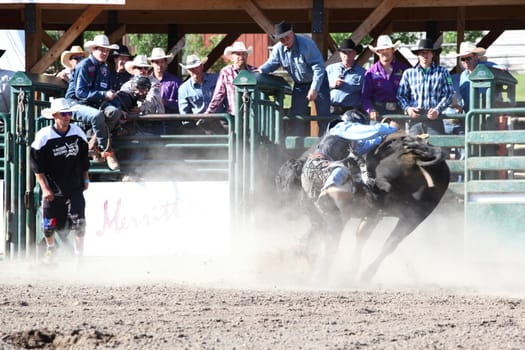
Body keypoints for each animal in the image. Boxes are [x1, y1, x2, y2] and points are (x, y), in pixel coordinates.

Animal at [274, 133, 450, 284]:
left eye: (285, 184)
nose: (285, 210)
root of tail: (423, 152)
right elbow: (361, 235)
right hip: (415, 216)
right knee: (390, 243)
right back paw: (365, 274)